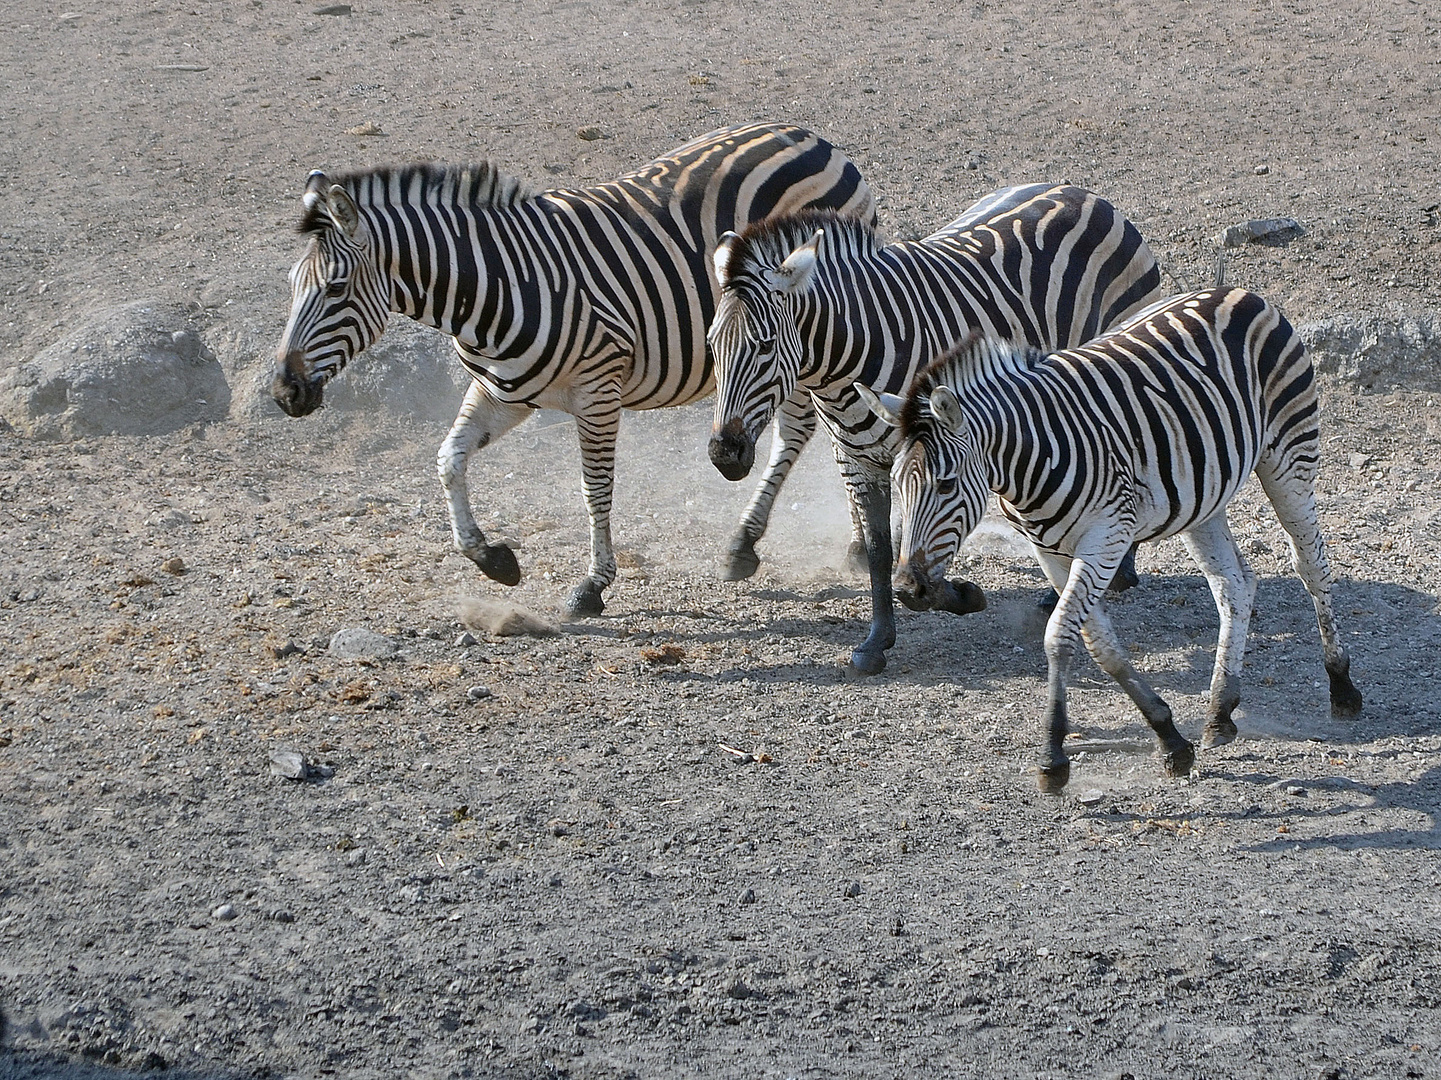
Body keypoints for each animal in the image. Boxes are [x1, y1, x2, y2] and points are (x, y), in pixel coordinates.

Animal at [270, 121, 876, 611]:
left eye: (335, 289)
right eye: (292, 286)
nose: (283, 393)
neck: (494, 288)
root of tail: (811, 137)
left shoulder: (598, 389)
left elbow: (595, 486)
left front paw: (593, 584)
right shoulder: (501, 393)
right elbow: (448, 460)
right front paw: (492, 558)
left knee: (817, 429)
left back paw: (807, 542)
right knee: (811, 431)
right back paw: (781, 543)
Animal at [703, 186, 1164, 674]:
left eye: (765, 345)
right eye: (712, 344)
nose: (723, 453)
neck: (847, 361)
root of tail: (1080, 193)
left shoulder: (939, 451)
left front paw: (959, 595)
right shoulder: (857, 458)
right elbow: (881, 550)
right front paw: (877, 640)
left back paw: (1116, 572)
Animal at [858, 286, 1366, 790]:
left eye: (945, 485)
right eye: (897, 483)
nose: (907, 589)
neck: (1030, 459)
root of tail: (1234, 292)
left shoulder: (1106, 538)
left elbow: (1059, 635)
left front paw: (1053, 759)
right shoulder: (1049, 551)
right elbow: (1101, 645)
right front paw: (1169, 738)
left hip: (1290, 458)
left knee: (1310, 564)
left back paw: (1341, 687)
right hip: (1203, 497)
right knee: (1234, 585)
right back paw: (1221, 709)